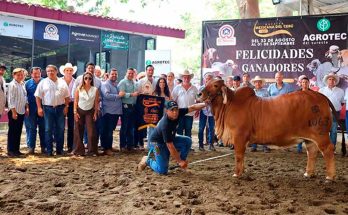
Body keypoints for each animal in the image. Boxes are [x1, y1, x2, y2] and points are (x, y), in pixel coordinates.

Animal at [198, 80, 338, 181]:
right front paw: (242, 171)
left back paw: (330, 176)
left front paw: (237, 174)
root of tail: (320, 95)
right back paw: (308, 173)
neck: (228, 106)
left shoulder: (239, 136)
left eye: (215, 85)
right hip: (309, 138)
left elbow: (238, 155)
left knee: (328, 150)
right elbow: (242, 156)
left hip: (321, 135)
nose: (199, 94)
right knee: (312, 152)